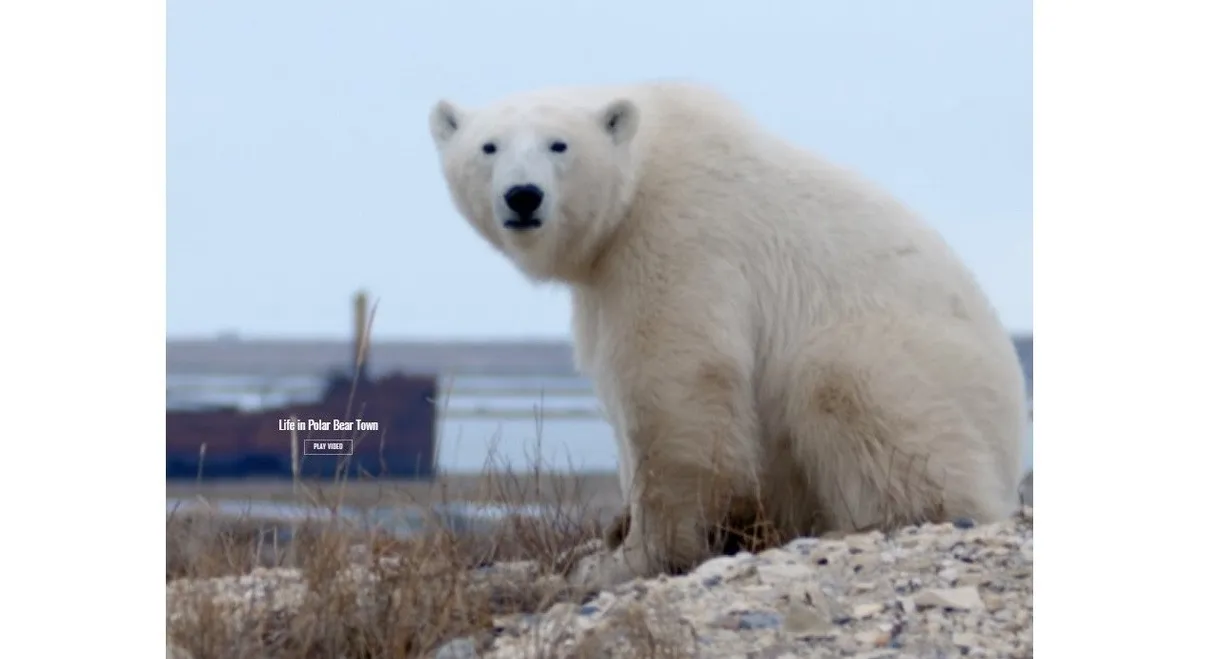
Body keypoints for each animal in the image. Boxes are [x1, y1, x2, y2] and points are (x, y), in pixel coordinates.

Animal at [427, 81, 1029, 590]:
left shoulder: (677, 233)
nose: (523, 196)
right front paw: (607, 536)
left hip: (926, 365)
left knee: (846, 384)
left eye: (559, 144)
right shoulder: (605, 279)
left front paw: (632, 557)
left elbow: (675, 386)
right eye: (488, 146)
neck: (645, 163)